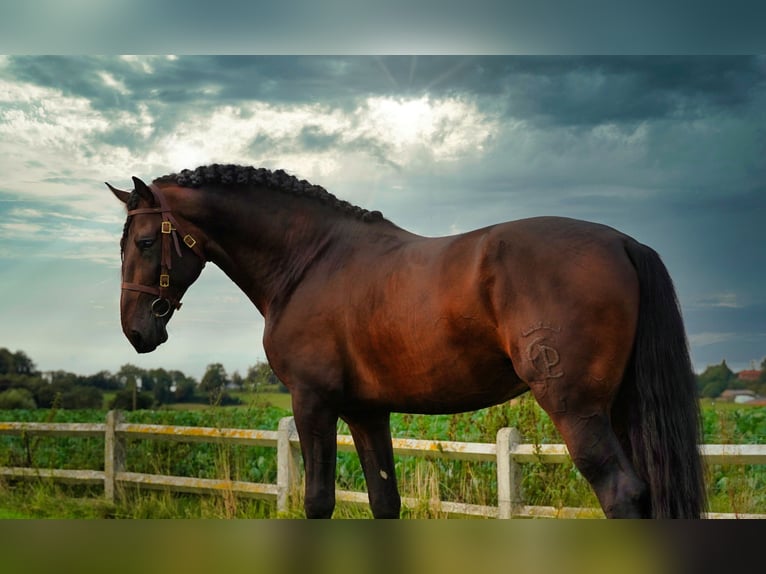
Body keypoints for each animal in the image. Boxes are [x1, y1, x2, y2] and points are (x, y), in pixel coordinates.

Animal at [106, 164, 708, 520]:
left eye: (144, 241)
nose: (136, 331)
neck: (310, 260)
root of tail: (625, 243)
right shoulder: (367, 412)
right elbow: (383, 499)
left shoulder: (312, 403)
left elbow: (318, 500)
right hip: (621, 409)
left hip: (576, 409)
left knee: (622, 494)